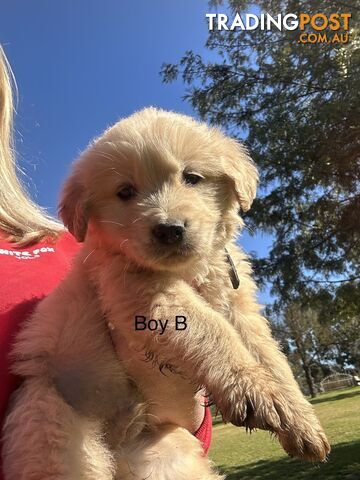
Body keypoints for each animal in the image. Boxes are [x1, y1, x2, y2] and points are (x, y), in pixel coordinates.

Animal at [2, 107, 330, 478]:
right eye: (125, 191)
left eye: (192, 177)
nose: (169, 230)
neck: (187, 270)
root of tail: (118, 451)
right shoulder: (140, 292)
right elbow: (212, 330)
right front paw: (255, 391)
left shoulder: (236, 303)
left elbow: (271, 357)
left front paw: (299, 419)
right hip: (49, 418)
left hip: (168, 452)